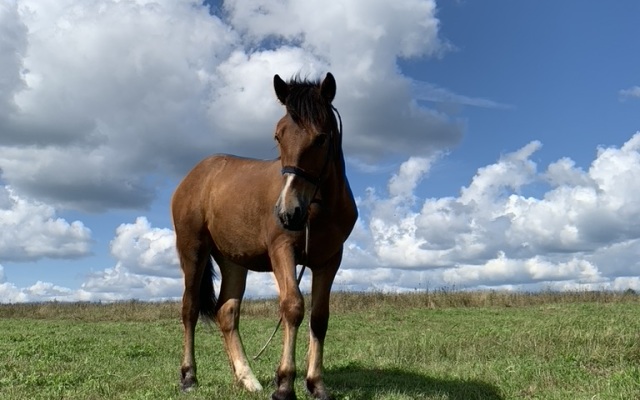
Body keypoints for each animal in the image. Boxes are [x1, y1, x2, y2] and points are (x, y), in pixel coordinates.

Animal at [170, 72, 358, 400]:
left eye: (321, 138)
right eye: (278, 136)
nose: (288, 212)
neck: (318, 208)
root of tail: (194, 176)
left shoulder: (330, 259)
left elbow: (319, 317)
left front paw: (316, 384)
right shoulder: (282, 250)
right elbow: (292, 307)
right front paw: (284, 384)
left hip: (233, 260)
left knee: (227, 312)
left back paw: (247, 378)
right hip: (193, 250)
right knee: (189, 308)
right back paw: (189, 376)